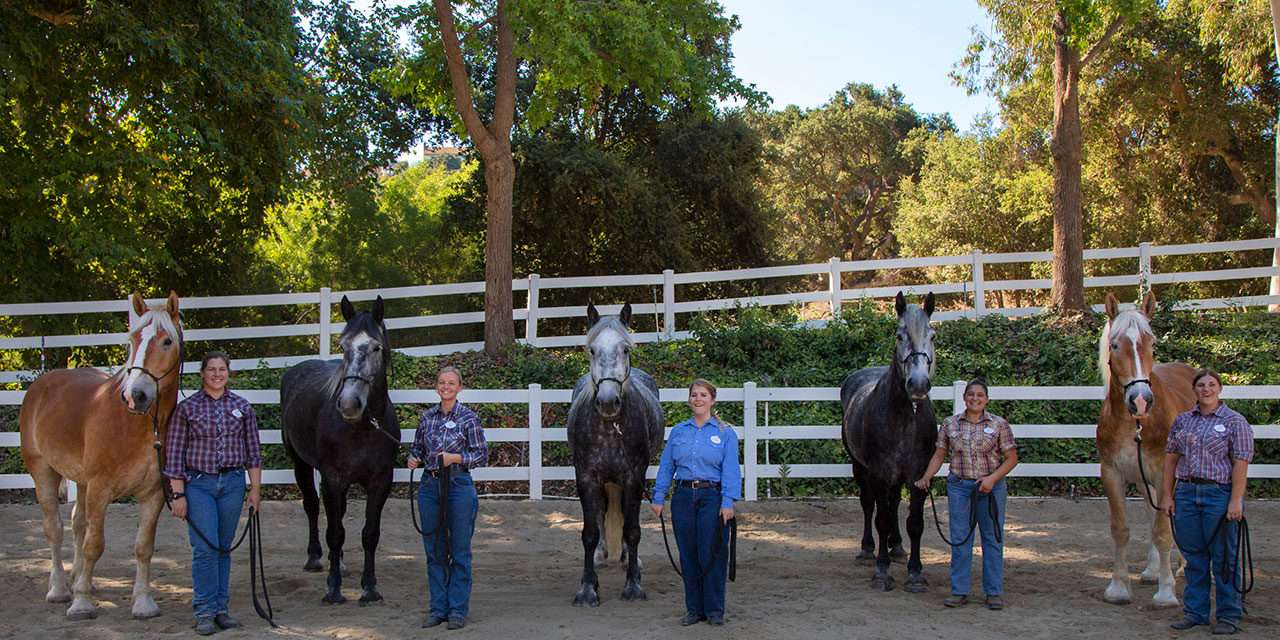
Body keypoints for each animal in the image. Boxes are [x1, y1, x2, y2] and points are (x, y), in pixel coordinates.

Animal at [18, 291, 185, 619]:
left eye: (166, 341)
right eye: (133, 338)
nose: (136, 395)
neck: (136, 426)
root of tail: (42, 383)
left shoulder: (152, 493)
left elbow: (143, 546)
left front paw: (143, 602)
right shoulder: (100, 489)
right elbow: (94, 545)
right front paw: (81, 603)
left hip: (81, 482)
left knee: (77, 524)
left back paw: (80, 580)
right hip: (43, 471)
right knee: (55, 529)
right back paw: (60, 589)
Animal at [281, 294, 396, 604]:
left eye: (376, 347)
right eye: (343, 345)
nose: (349, 404)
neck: (363, 429)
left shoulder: (381, 482)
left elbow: (370, 534)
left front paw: (369, 588)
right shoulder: (332, 479)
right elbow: (334, 532)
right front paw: (333, 589)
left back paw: (340, 561)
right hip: (301, 464)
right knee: (312, 506)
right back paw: (315, 558)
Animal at [573, 302, 670, 606]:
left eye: (626, 349)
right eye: (592, 350)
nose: (607, 401)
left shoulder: (633, 478)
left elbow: (632, 529)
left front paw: (633, 585)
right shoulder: (587, 478)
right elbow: (590, 532)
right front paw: (588, 589)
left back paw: (630, 560)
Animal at [839, 293, 942, 591]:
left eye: (932, 335)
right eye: (899, 335)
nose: (917, 384)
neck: (904, 417)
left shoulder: (919, 475)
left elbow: (915, 523)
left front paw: (915, 573)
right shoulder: (878, 473)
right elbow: (881, 519)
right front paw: (881, 571)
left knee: (894, 503)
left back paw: (897, 547)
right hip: (860, 468)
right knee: (869, 505)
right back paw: (867, 549)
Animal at [1095, 293, 1192, 606]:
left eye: (1152, 343)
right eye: (1115, 345)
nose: (1140, 400)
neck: (1135, 424)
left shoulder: (1164, 474)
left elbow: (1162, 531)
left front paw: (1166, 592)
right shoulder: (1112, 474)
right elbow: (1121, 529)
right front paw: (1118, 587)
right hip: (1143, 480)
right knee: (1152, 513)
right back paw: (1151, 570)